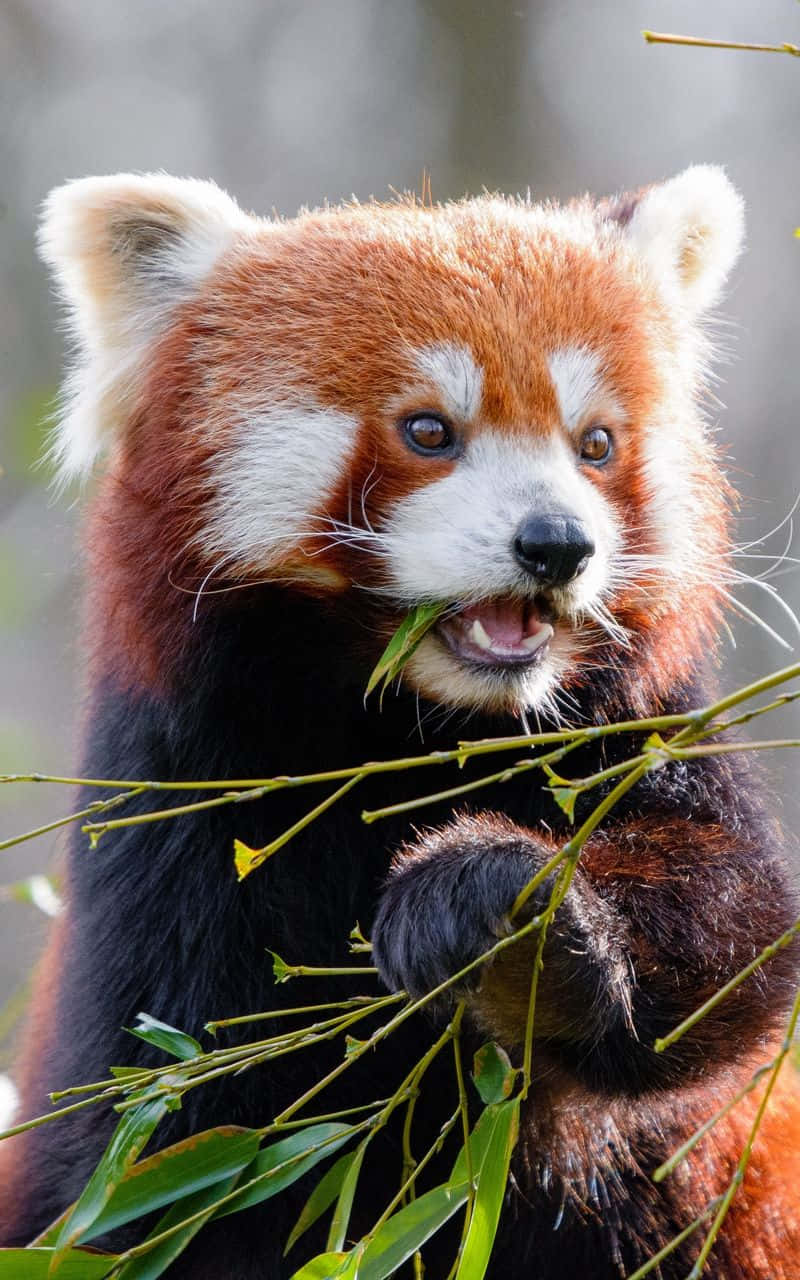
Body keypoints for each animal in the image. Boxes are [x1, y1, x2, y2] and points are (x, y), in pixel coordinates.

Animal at [1, 165, 798, 1274]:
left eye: (594, 444)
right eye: (429, 430)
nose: (557, 543)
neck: (424, 726)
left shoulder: (643, 742)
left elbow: (732, 949)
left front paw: (504, 921)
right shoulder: (181, 824)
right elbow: (168, 1135)